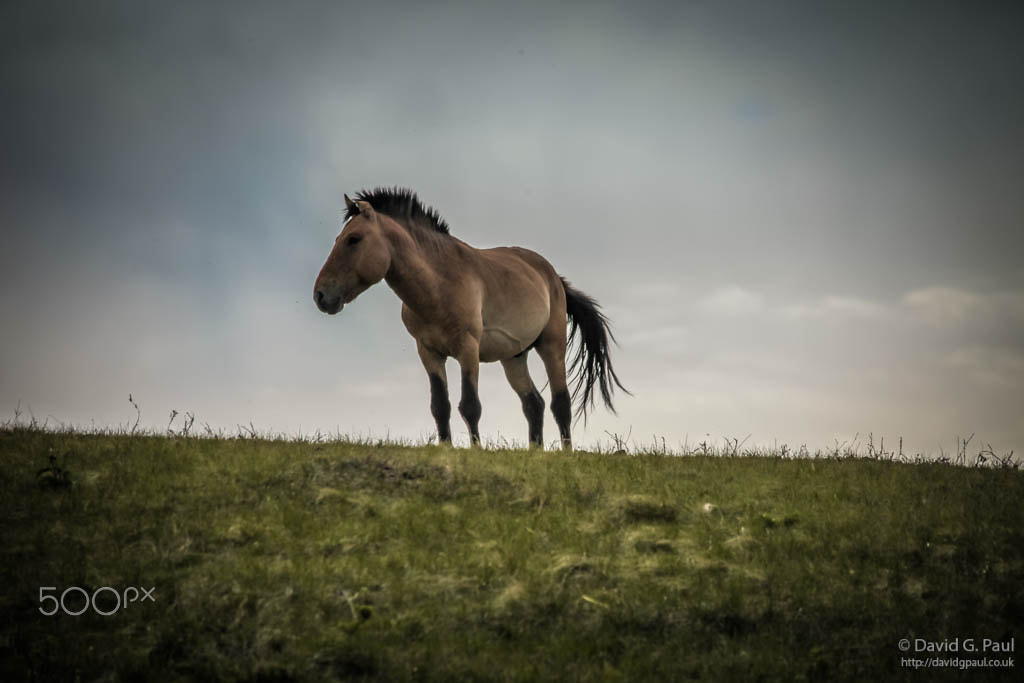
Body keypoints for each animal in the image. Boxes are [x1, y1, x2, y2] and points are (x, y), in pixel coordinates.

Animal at [313, 187, 626, 450]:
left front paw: (475, 450)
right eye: (339, 239)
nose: (321, 295)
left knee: (560, 403)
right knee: (533, 404)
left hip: (551, 345)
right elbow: (440, 406)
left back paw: (566, 453)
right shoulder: (428, 352)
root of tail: (555, 278)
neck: (437, 285)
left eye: (354, 239)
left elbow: (470, 405)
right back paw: (535, 452)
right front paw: (446, 449)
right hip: (514, 357)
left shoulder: (468, 348)